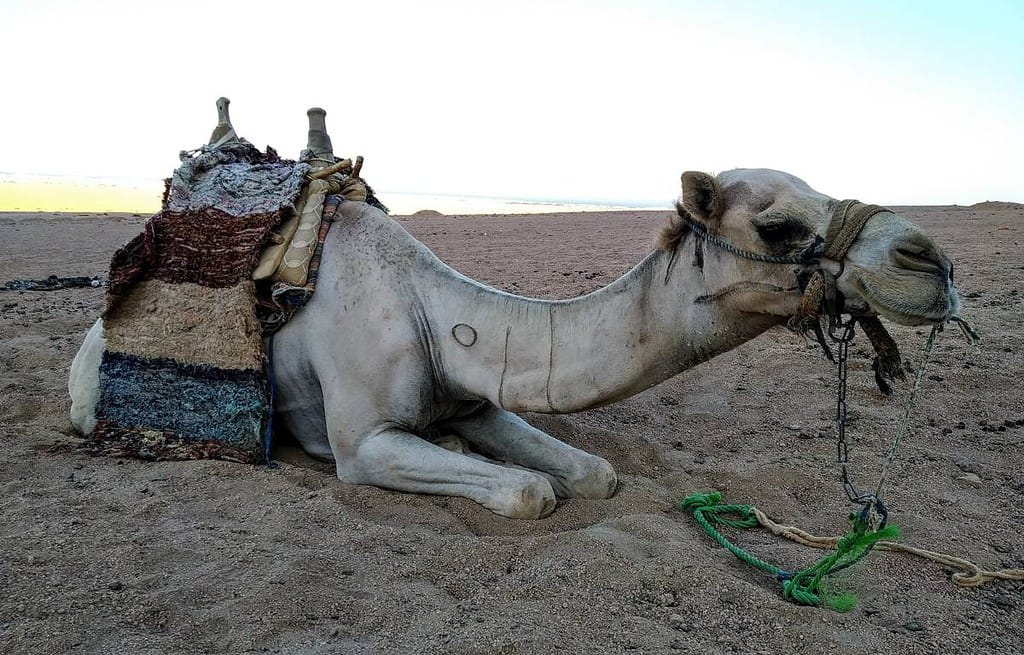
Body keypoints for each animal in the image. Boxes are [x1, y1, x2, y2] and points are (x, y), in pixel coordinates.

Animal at [70, 171, 958, 519]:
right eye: (776, 225)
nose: (932, 263)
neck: (431, 310)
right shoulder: (364, 441)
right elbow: (532, 491)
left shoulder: (478, 397)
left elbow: (592, 473)